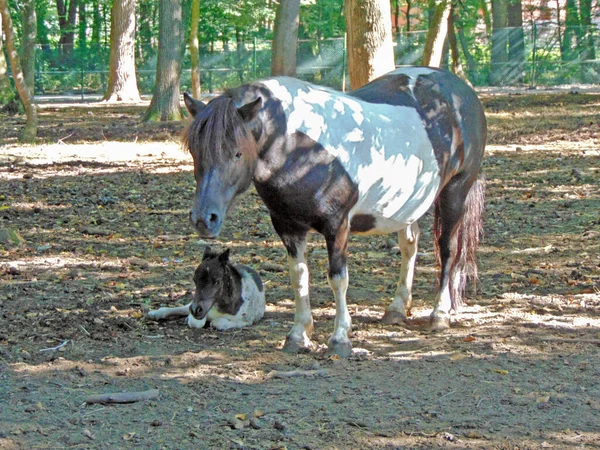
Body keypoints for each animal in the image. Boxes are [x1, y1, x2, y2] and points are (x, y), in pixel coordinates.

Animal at [180, 67, 486, 356]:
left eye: (237, 153)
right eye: (195, 151)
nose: (204, 219)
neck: (298, 148)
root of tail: (461, 92)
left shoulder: (337, 226)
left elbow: (338, 279)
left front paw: (340, 338)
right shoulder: (287, 226)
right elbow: (299, 277)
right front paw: (299, 335)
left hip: (454, 192)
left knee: (448, 250)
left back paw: (440, 314)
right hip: (406, 206)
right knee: (410, 246)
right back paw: (397, 309)